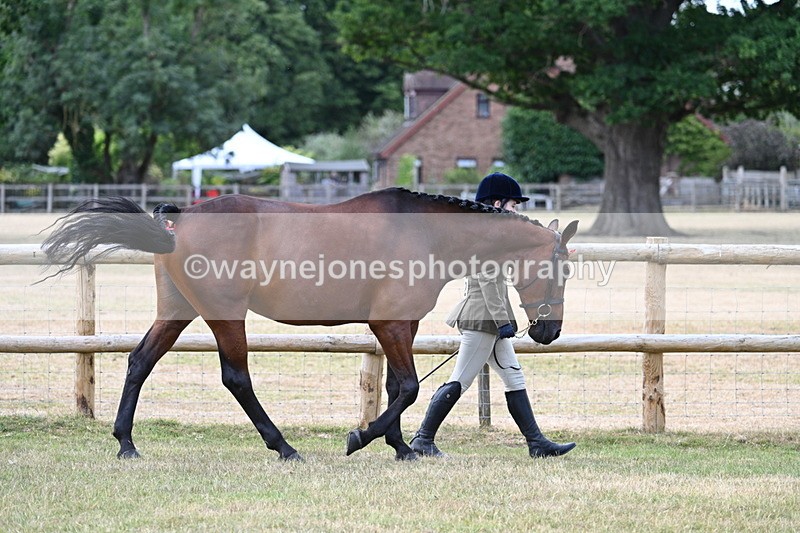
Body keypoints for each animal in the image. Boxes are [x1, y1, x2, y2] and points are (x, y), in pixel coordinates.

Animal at [42, 188, 578, 461]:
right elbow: (407, 388)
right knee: (236, 378)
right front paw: (362, 439)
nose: (547, 332)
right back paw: (284, 447)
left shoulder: (399, 326)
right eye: (561, 268)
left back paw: (126, 444)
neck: (423, 230)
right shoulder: (390, 324)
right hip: (225, 314)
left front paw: (401, 447)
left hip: (177, 311)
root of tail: (179, 222)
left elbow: (396, 388)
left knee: (139, 361)